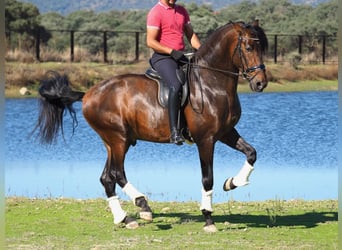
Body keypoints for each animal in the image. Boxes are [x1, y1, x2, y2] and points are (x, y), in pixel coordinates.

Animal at [35, 21, 270, 232]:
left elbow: (251, 153)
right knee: (117, 173)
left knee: (107, 178)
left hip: (113, 142)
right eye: (249, 48)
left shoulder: (226, 133)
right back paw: (142, 204)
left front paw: (233, 182)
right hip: (118, 139)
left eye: (262, 48)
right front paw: (208, 218)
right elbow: (207, 178)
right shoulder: (205, 140)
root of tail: (88, 95)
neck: (211, 83)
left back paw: (125, 218)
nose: (261, 83)